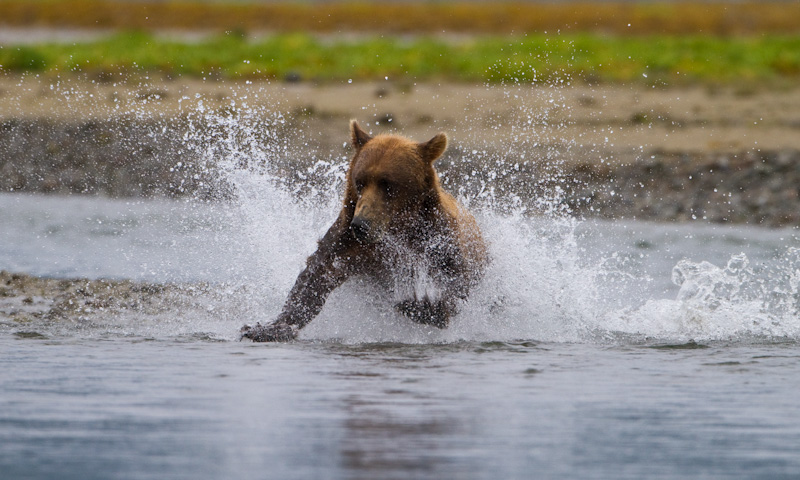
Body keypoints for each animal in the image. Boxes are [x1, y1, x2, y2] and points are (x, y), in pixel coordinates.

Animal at [238, 122, 488, 344]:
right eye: (360, 181)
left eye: (388, 184)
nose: (361, 224)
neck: (395, 233)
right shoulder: (348, 242)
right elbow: (316, 276)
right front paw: (267, 328)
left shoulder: (437, 241)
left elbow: (455, 283)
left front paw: (420, 305)